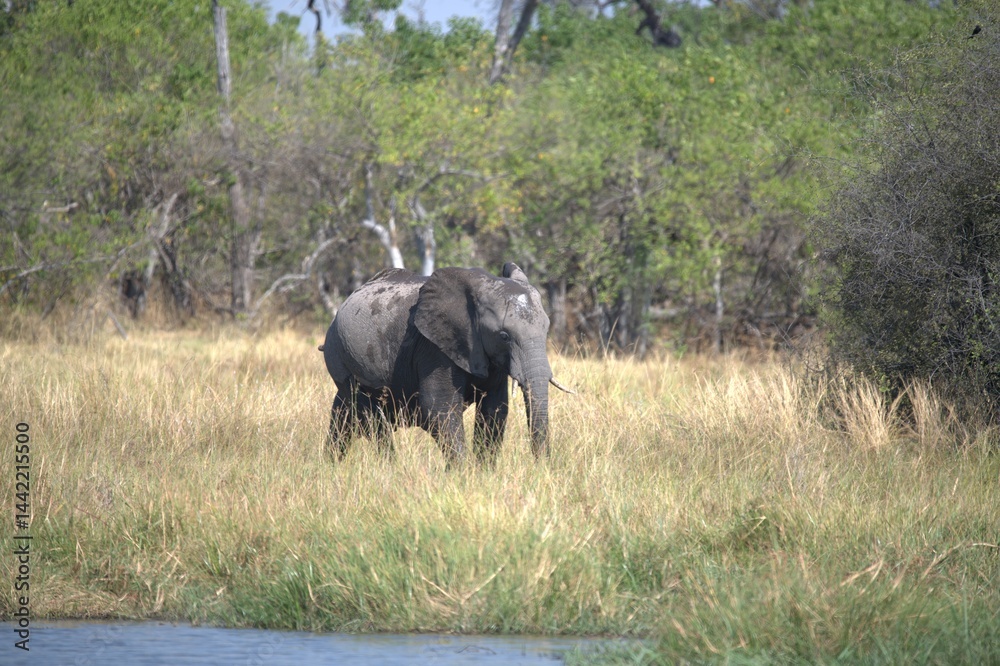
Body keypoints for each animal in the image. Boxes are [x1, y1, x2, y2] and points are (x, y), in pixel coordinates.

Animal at [320, 262, 568, 465]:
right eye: (504, 336)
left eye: (546, 329)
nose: (542, 467)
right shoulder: (434, 348)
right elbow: (440, 407)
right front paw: (462, 476)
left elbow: (495, 408)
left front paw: (483, 474)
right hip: (341, 357)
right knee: (373, 420)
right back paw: (389, 468)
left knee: (344, 415)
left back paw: (331, 466)